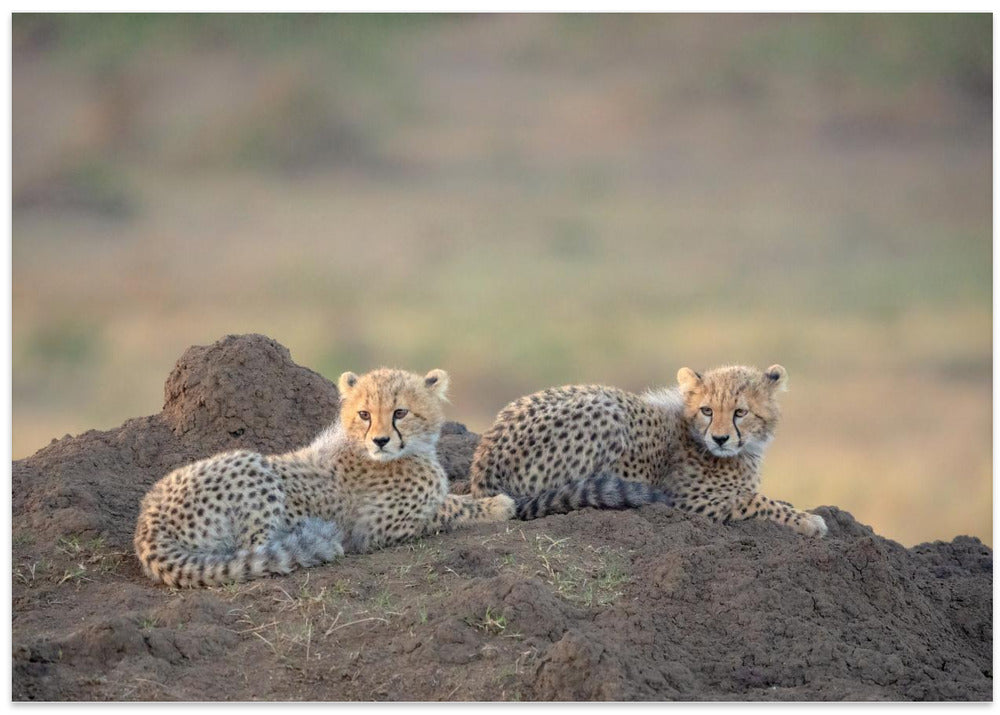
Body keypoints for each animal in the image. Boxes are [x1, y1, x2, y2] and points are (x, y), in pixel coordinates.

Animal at [134, 367, 517, 588]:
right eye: (364, 414)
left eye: (400, 412)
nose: (380, 440)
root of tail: (147, 521)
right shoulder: (377, 528)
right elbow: (447, 510)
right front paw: (498, 506)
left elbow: (451, 500)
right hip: (250, 463)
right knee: (253, 551)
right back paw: (308, 541)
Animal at [466, 364, 827, 537]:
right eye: (707, 410)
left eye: (740, 412)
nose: (721, 439)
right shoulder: (690, 501)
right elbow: (756, 501)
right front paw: (809, 521)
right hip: (606, 409)